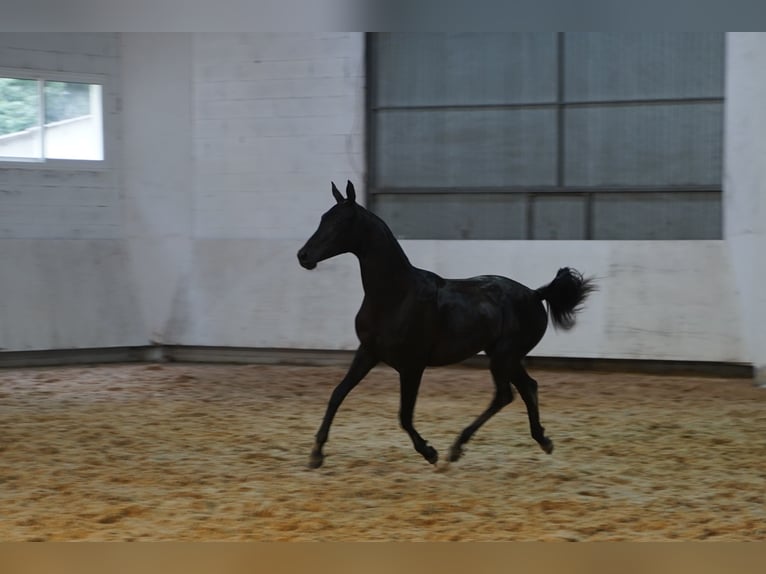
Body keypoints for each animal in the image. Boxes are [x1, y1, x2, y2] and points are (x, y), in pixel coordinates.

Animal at [296, 182, 596, 470]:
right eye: (323, 218)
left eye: (342, 222)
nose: (303, 255)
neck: (396, 295)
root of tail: (535, 294)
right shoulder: (367, 352)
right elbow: (337, 394)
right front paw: (316, 454)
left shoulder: (412, 365)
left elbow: (404, 416)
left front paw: (430, 452)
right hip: (504, 356)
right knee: (527, 388)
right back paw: (542, 440)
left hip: (504, 356)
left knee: (504, 395)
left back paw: (457, 448)